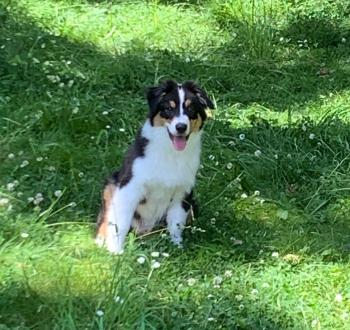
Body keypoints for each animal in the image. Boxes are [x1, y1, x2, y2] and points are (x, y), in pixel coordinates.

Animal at [95, 79, 215, 253]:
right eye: (168, 108)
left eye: (191, 108)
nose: (181, 127)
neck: (171, 152)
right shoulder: (130, 187)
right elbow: (121, 222)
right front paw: (116, 251)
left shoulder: (183, 192)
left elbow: (176, 224)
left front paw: (177, 248)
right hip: (111, 184)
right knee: (107, 219)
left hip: (193, 203)